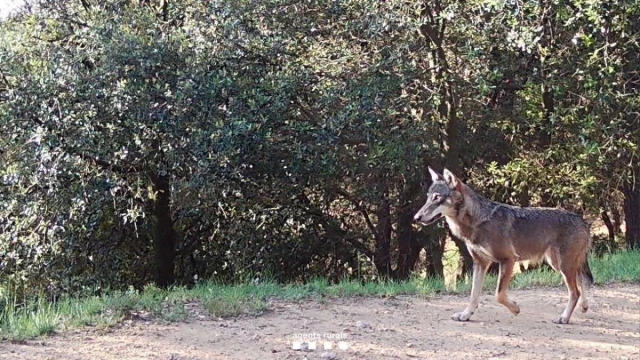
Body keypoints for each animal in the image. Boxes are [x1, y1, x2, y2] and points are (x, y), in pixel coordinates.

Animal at [416, 167, 596, 324]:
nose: (416, 217)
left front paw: (515, 309)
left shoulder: (508, 260)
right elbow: (474, 295)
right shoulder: (480, 263)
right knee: (580, 281)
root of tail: (582, 220)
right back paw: (584, 307)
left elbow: (499, 295)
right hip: (559, 264)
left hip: (563, 266)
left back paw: (564, 317)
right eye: (428, 197)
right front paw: (466, 315)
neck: (477, 221)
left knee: (575, 291)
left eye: (437, 197)